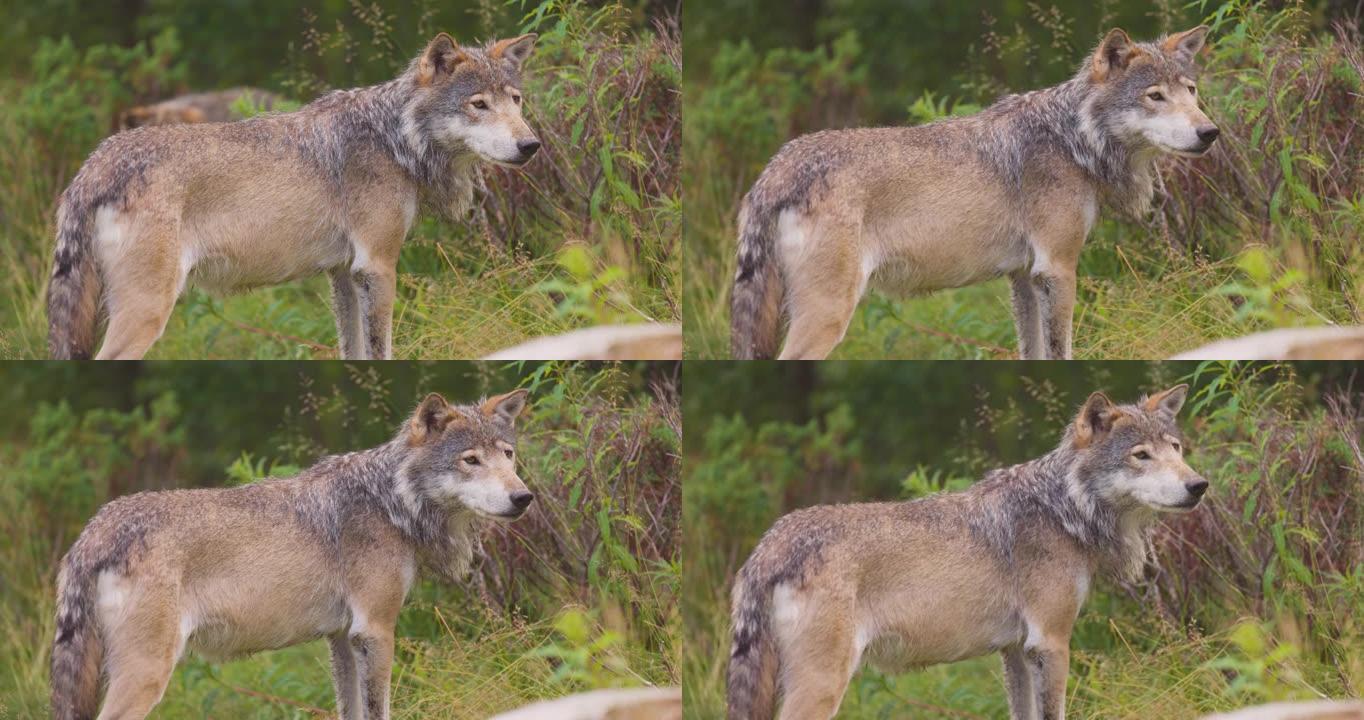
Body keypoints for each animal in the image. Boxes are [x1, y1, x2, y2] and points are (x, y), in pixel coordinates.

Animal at [48, 390, 529, 714]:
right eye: (471, 460)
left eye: (508, 455)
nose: (524, 497)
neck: (390, 500)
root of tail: (93, 533)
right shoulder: (374, 631)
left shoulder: (343, 637)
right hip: (147, 674)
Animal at [53, 33, 542, 360]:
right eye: (478, 104)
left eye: (516, 100)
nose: (531, 145)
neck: (395, 137)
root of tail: (93, 166)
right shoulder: (377, 266)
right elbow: (382, 352)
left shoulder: (344, 273)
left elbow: (353, 354)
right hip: (146, 312)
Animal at [731, 26, 1222, 360]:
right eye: (1155, 96)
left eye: (1191, 91)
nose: (1209, 132)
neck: (1073, 138)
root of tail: (775, 171)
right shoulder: (1058, 269)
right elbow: (1062, 351)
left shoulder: (1024, 277)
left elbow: (1033, 354)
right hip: (827, 316)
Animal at [731, 384, 1211, 720]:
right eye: (1141, 455)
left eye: (1175, 449)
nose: (1198, 485)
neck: (1062, 508)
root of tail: (769, 546)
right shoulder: (1051, 643)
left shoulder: (1017, 651)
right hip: (823, 685)